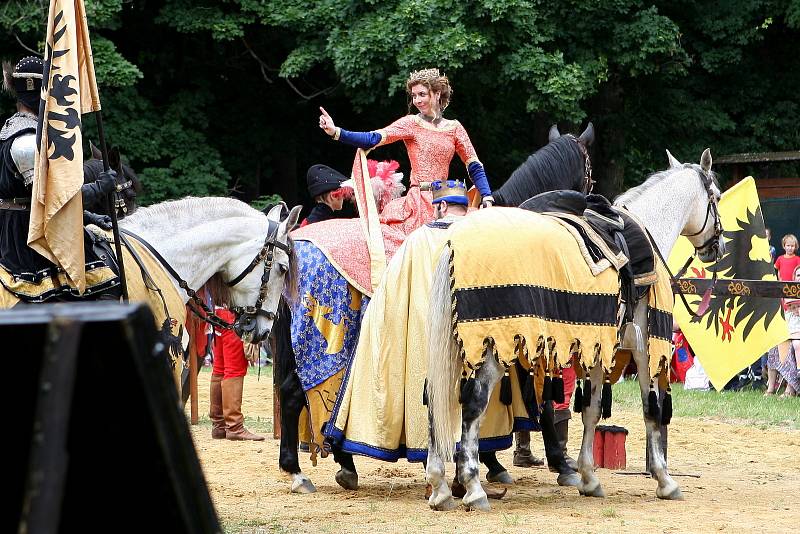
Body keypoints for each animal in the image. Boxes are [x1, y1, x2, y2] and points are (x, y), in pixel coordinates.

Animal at [424, 150, 724, 510]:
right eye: (717, 196)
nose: (718, 247)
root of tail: (454, 244)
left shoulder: (600, 347)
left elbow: (591, 410)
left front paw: (589, 477)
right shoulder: (644, 347)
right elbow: (651, 409)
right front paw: (664, 479)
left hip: (458, 345)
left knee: (434, 399)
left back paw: (441, 486)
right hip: (493, 346)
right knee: (473, 403)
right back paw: (472, 486)